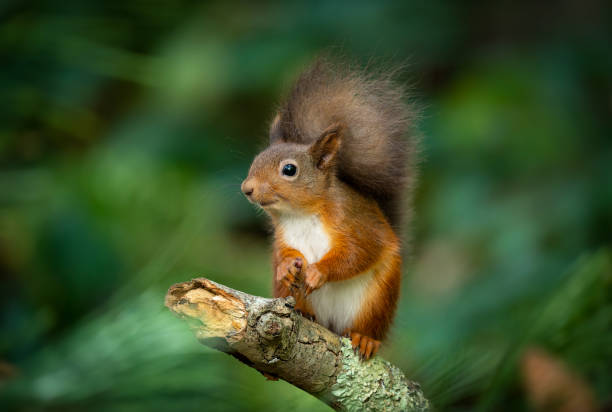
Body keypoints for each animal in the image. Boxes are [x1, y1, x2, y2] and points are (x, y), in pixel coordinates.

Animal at [241, 58, 418, 360]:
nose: (247, 188)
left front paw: (318, 272)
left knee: (368, 326)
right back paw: (303, 312)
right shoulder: (283, 235)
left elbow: (359, 253)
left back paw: (366, 339)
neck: (300, 215)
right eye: (256, 160)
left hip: (378, 298)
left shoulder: (355, 223)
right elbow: (283, 252)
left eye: (289, 170)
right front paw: (288, 265)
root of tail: (332, 325)